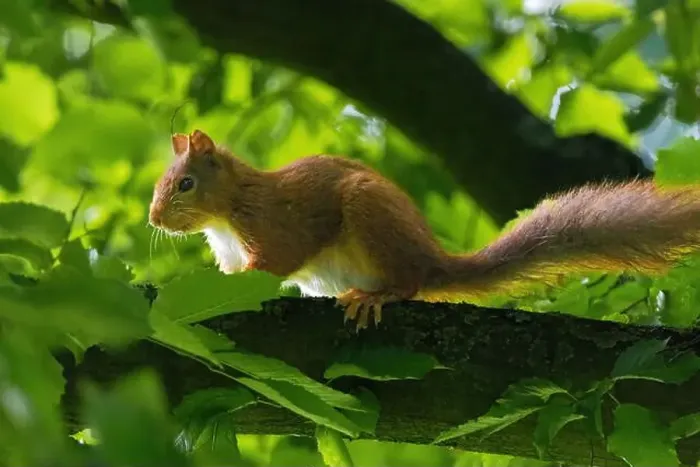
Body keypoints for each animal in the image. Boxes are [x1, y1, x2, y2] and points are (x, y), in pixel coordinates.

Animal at [149, 129, 700, 329]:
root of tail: (433, 260)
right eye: (160, 182)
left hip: (372, 219)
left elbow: (276, 262)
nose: (154, 219)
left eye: (186, 184)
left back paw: (377, 295)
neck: (227, 211)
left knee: (409, 285)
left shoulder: (273, 224)